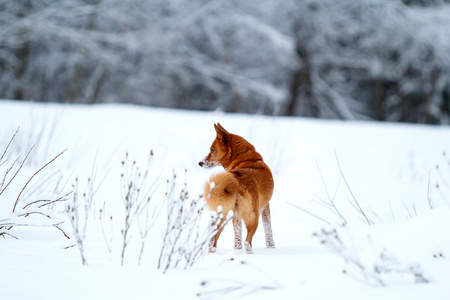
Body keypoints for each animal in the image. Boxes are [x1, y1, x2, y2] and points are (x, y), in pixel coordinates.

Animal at [200, 123, 274, 254]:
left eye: (212, 150)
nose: (200, 163)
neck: (244, 159)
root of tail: (236, 180)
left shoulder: (236, 216)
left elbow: (237, 236)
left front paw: (237, 249)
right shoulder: (265, 206)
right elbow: (268, 231)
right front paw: (271, 247)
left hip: (224, 215)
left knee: (213, 238)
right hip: (252, 216)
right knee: (247, 242)